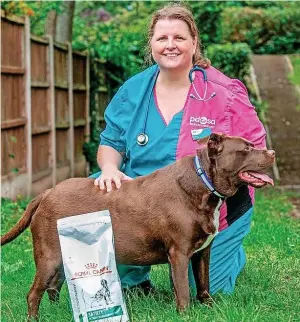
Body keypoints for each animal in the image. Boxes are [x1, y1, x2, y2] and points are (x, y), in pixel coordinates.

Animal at [1, 132, 276, 318]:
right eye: (246, 148)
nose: (272, 152)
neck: (202, 183)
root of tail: (46, 193)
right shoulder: (179, 253)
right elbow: (184, 291)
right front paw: (186, 315)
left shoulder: (202, 252)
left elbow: (203, 283)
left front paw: (210, 308)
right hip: (49, 256)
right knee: (34, 293)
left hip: (61, 258)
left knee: (53, 287)